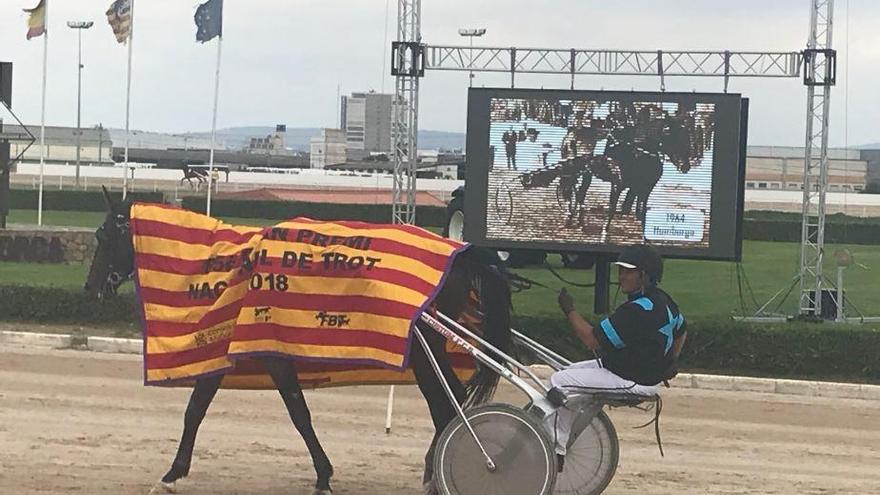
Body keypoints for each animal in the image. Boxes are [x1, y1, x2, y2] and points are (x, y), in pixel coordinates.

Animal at [84, 188, 508, 494]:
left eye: (103, 235)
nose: (90, 288)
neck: (231, 266)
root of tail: (459, 253)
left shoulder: (272, 349)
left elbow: (298, 412)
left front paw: (323, 475)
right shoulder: (230, 345)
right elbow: (197, 408)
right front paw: (174, 471)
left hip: (421, 346)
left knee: (445, 401)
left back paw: (441, 468)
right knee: (449, 400)